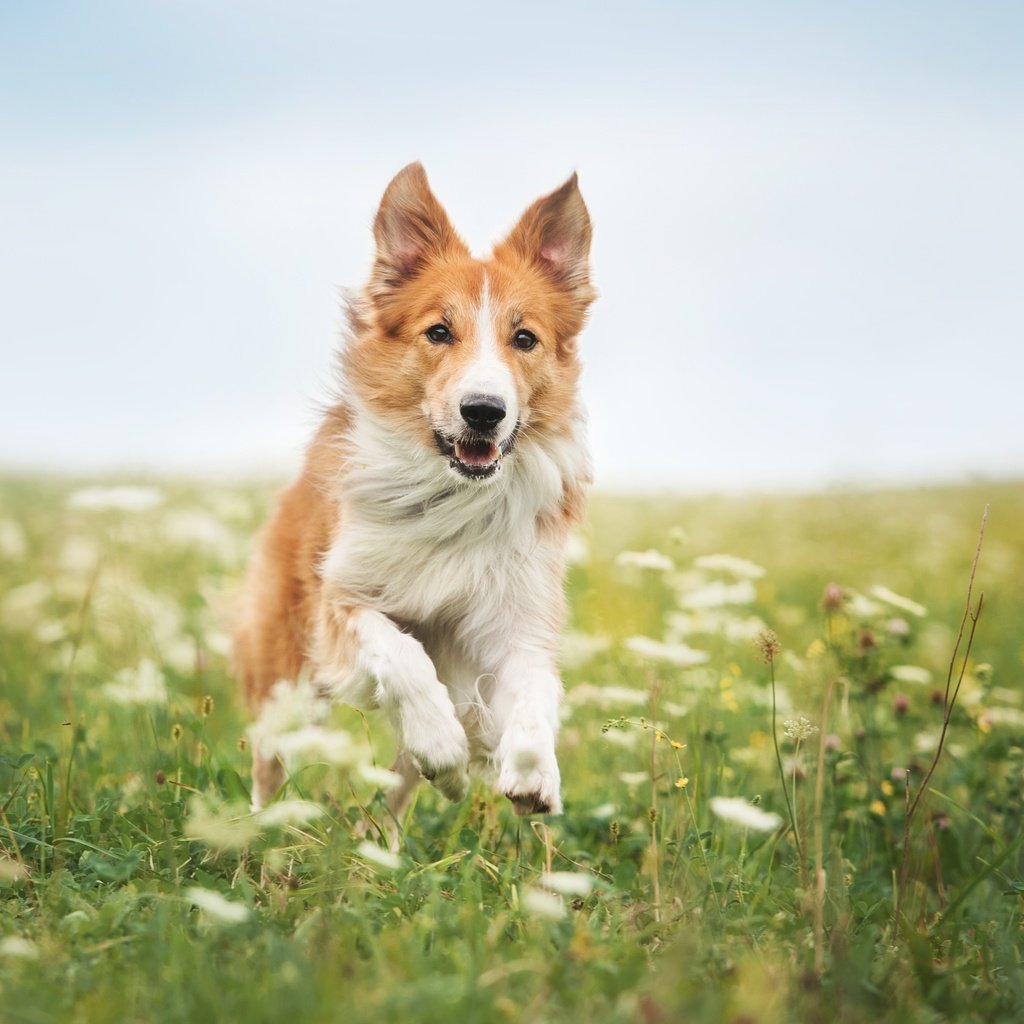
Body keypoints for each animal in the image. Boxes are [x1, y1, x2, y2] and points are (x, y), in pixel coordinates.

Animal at [233, 163, 598, 819]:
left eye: (525, 339)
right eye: (439, 331)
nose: (484, 411)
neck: (453, 496)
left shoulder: (516, 618)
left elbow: (537, 686)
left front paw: (534, 772)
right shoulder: (341, 601)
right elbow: (401, 653)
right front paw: (442, 741)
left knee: (395, 801)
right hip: (285, 676)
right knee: (270, 765)